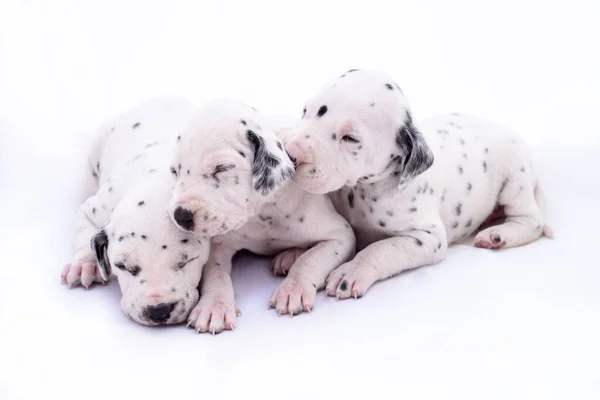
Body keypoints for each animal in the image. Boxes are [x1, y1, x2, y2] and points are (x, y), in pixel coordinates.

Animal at [61, 97, 211, 324]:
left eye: (186, 261)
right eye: (123, 266)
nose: (159, 310)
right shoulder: (92, 209)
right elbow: (84, 234)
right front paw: (83, 265)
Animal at [166, 98, 356, 332]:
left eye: (222, 168)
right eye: (175, 171)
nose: (180, 215)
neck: (263, 213)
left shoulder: (341, 235)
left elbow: (311, 259)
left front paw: (293, 288)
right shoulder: (217, 246)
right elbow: (215, 273)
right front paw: (214, 306)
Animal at [286, 69, 552, 300]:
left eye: (350, 138)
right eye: (305, 111)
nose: (291, 154)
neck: (362, 190)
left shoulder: (427, 237)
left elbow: (381, 248)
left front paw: (351, 271)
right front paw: (293, 254)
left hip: (514, 178)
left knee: (531, 221)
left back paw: (499, 235)